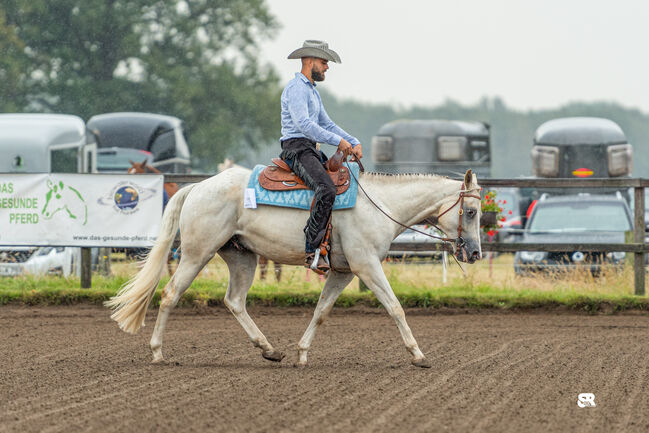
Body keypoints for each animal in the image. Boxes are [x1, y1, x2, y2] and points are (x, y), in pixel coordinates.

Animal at [105, 167, 480, 366]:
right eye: (473, 211)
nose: (475, 253)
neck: (380, 205)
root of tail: (198, 186)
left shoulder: (344, 272)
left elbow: (321, 312)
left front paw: (301, 353)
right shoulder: (367, 266)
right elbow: (395, 307)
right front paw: (418, 355)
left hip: (242, 257)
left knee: (235, 301)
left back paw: (269, 350)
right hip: (198, 253)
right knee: (170, 294)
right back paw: (157, 353)